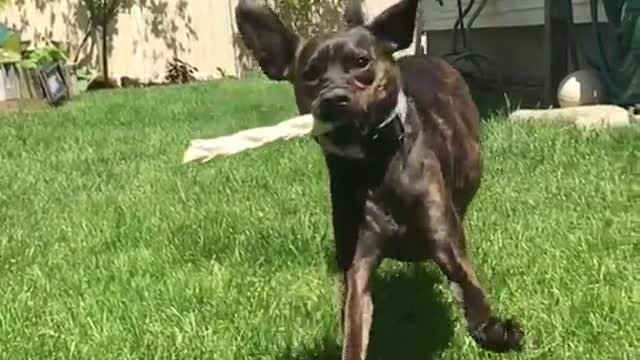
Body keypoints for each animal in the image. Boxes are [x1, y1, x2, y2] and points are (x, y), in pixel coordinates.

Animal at [235, 0, 524, 358]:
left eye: (362, 62)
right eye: (310, 74)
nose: (333, 99)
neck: (374, 167)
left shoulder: (444, 240)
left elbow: (470, 291)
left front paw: (495, 331)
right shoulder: (357, 264)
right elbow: (354, 324)